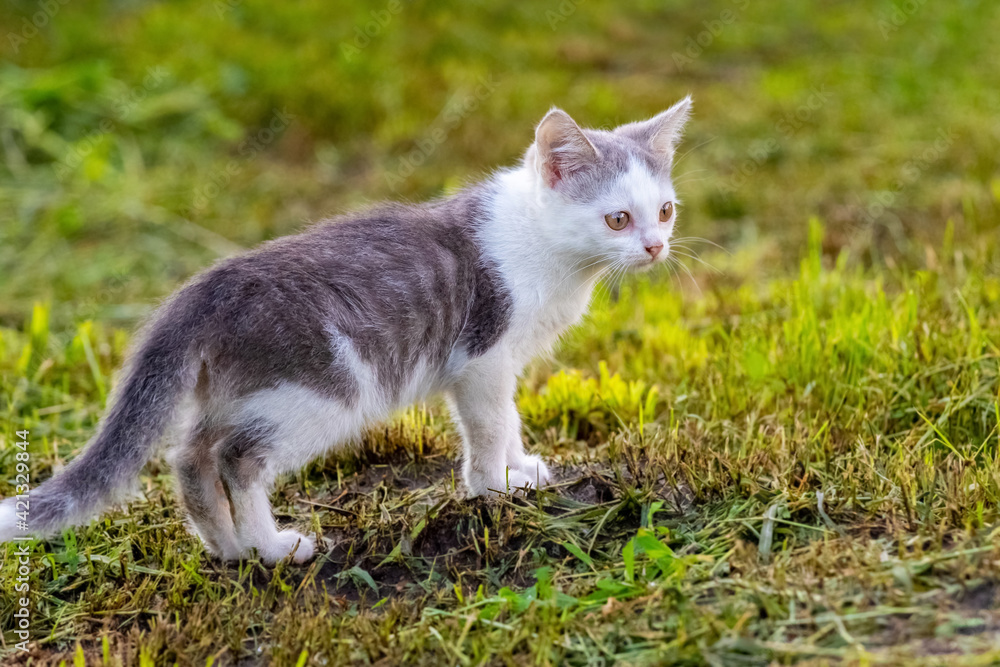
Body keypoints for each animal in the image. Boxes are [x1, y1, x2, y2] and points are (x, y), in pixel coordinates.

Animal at [0, 99, 692, 564]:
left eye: (664, 210)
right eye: (617, 218)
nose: (655, 247)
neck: (547, 252)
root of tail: (204, 289)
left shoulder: (502, 361)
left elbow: (512, 419)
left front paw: (522, 470)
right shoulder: (483, 356)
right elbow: (491, 425)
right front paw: (493, 490)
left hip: (243, 391)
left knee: (190, 457)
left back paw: (230, 549)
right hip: (318, 392)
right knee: (235, 459)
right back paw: (274, 547)